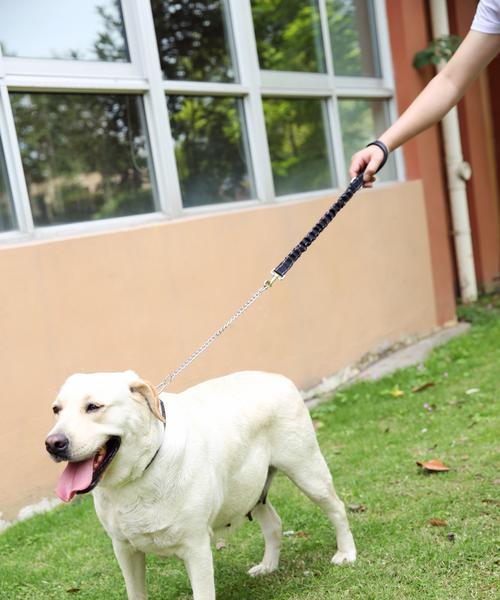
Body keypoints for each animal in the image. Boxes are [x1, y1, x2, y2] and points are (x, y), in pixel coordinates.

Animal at [45, 370, 354, 600]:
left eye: (93, 407)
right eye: (56, 410)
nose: (53, 443)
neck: (139, 472)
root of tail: (278, 377)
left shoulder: (196, 548)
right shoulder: (124, 549)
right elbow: (135, 592)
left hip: (306, 469)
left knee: (336, 508)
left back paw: (346, 554)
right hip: (249, 488)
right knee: (273, 522)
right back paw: (268, 566)